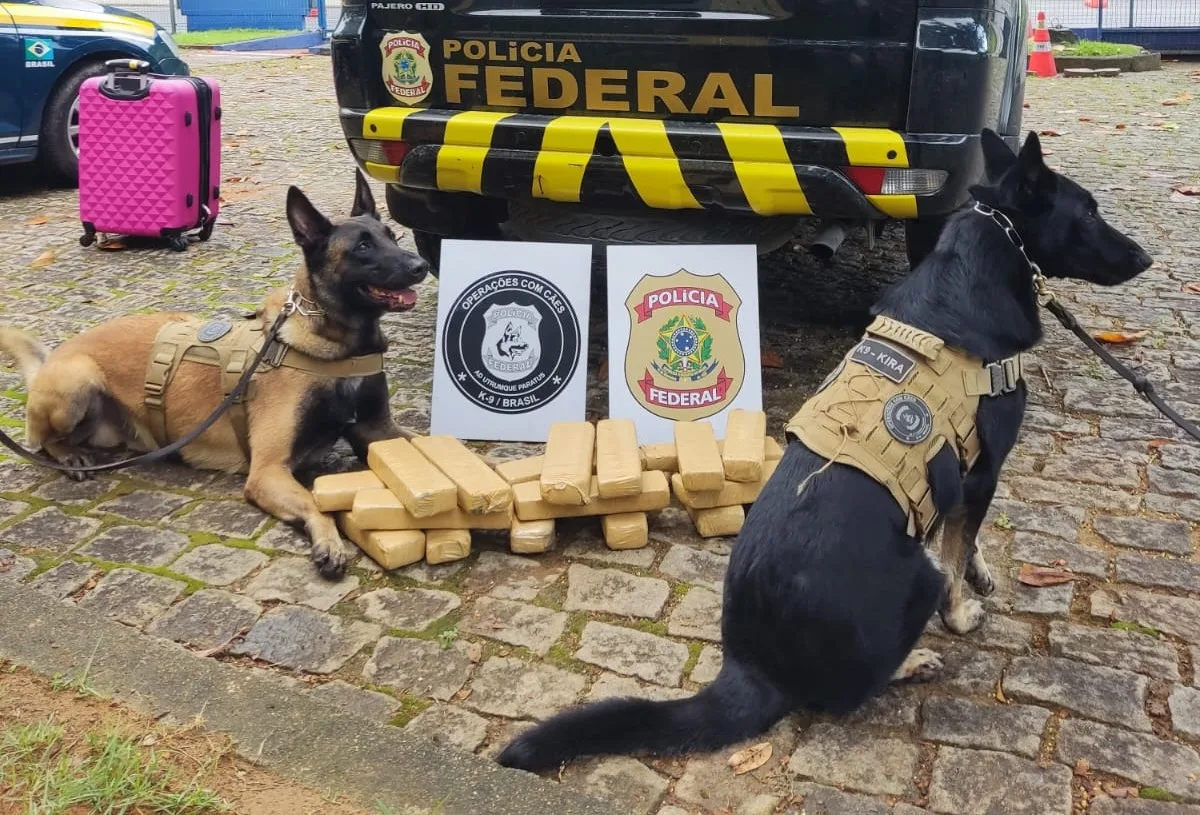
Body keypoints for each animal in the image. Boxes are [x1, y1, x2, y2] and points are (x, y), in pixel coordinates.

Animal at [0, 171, 432, 580]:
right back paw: (68, 455)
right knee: (42, 440)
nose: (422, 266)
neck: (338, 345)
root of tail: (54, 358)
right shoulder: (268, 471)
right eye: (362, 247)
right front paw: (328, 541)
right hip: (77, 381)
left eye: (392, 236)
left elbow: (430, 445)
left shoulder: (378, 430)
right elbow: (314, 503)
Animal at [496, 130, 1152, 772]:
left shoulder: (966, 476)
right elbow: (955, 552)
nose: (1146, 259)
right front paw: (962, 611)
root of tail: (753, 667)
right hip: (913, 575)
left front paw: (982, 571)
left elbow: (963, 535)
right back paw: (911, 662)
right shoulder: (986, 468)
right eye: (1088, 212)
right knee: (854, 685)